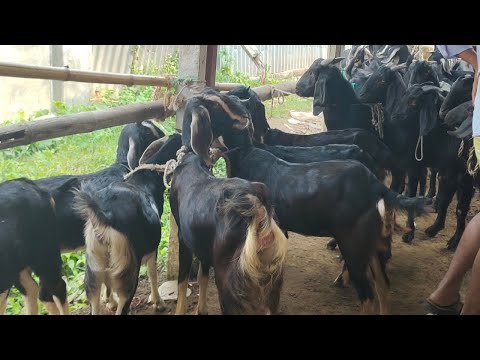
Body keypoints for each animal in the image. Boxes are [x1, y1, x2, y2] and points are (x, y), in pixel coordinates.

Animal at [75, 134, 182, 314]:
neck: (145, 180)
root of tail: (106, 215)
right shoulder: (152, 246)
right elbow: (152, 272)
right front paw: (158, 302)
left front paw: (110, 302)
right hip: (128, 268)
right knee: (124, 300)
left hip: (94, 266)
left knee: (95, 295)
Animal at [170, 153, 286, 316]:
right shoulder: (204, 247)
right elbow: (202, 276)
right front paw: (202, 310)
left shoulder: (183, 238)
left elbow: (183, 278)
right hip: (272, 284)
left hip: (227, 284)